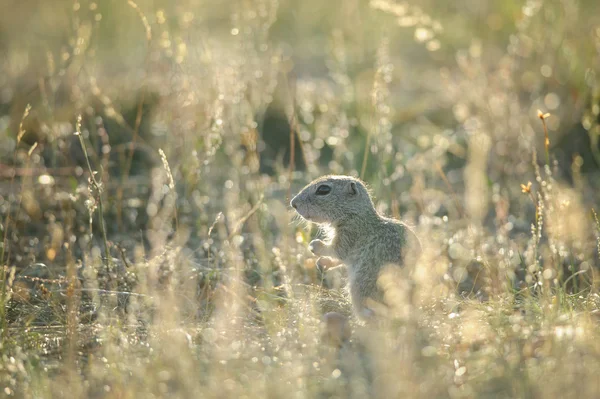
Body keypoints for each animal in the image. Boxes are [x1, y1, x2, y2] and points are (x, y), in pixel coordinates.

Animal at [290, 177, 418, 320]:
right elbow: (338, 259)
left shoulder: (348, 235)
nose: (293, 203)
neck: (354, 213)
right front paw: (322, 262)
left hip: (359, 287)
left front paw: (315, 245)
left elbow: (335, 251)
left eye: (323, 190)